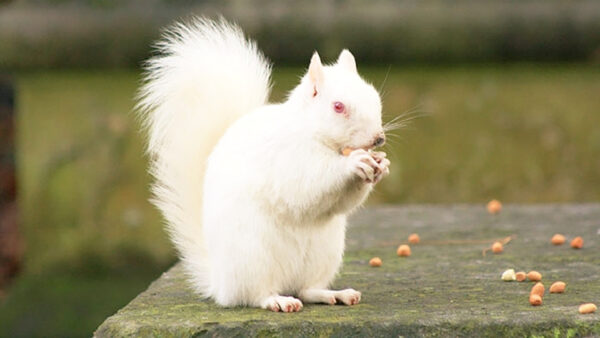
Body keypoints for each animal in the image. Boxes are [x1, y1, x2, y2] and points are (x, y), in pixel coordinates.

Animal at [136, 17, 390, 314]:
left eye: (374, 96)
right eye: (338, 106)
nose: (378, 138)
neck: (312, 133)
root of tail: (221, 284)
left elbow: (342, 202)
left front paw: (381, 164)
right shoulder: (287, 158)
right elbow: (309, 183)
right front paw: (353, 163)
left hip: (324, 254)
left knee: (306, 289)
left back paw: (334, 294)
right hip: (252, 257)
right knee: (255, 295)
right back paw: (278, 300)